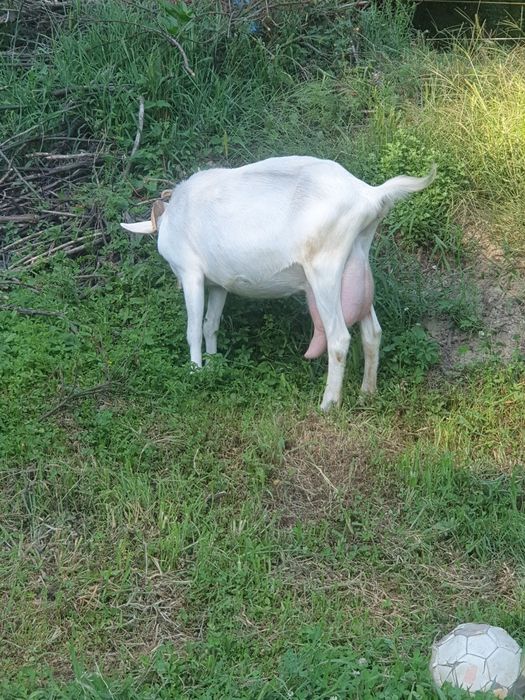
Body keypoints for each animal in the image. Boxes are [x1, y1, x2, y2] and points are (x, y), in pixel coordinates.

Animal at [121, 156, 435, 411]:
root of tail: (369, 194)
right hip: (357, 265)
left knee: (339, 338)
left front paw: (195, 373)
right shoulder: (219, 284)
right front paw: (213, 368)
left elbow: (194, 329)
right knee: (372, 332)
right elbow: (211, 324)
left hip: (326, 270)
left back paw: (328, 404)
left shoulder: (191, 274)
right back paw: (367, 392)